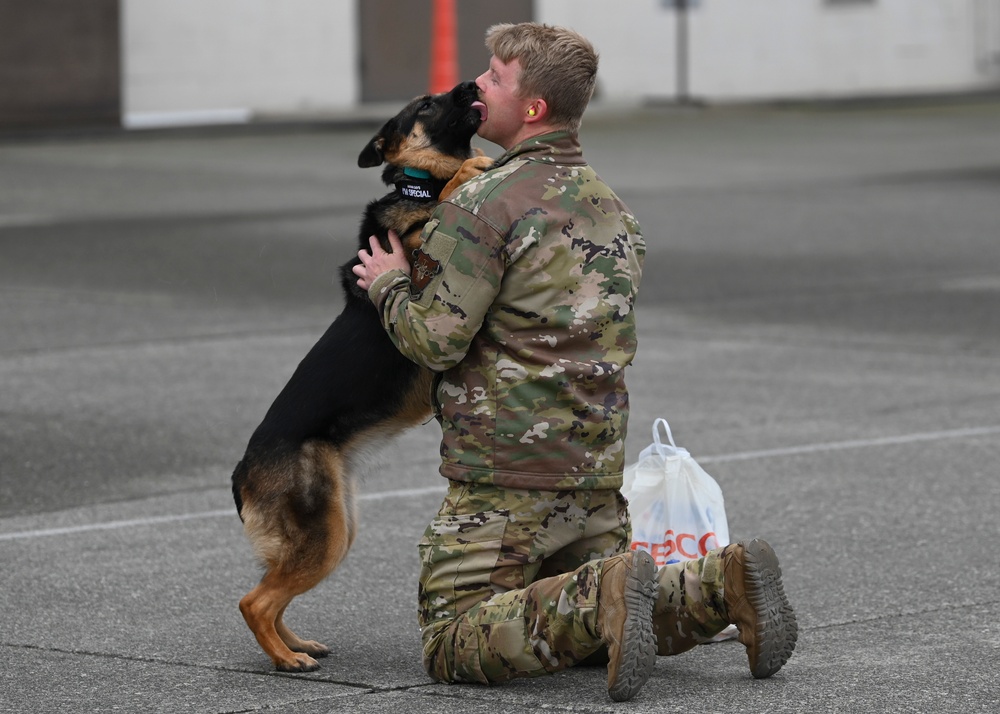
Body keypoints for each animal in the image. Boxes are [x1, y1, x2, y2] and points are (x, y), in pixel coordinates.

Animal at [228, 80, 492, 672]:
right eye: (426, 104)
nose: (470, 83)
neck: (419, 184)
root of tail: (241, 471)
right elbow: (449, 194)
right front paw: (471, 170)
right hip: (326, 536)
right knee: (253, 601)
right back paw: (288, 661)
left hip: (337, 529)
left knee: (271, 593)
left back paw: (296, 645)